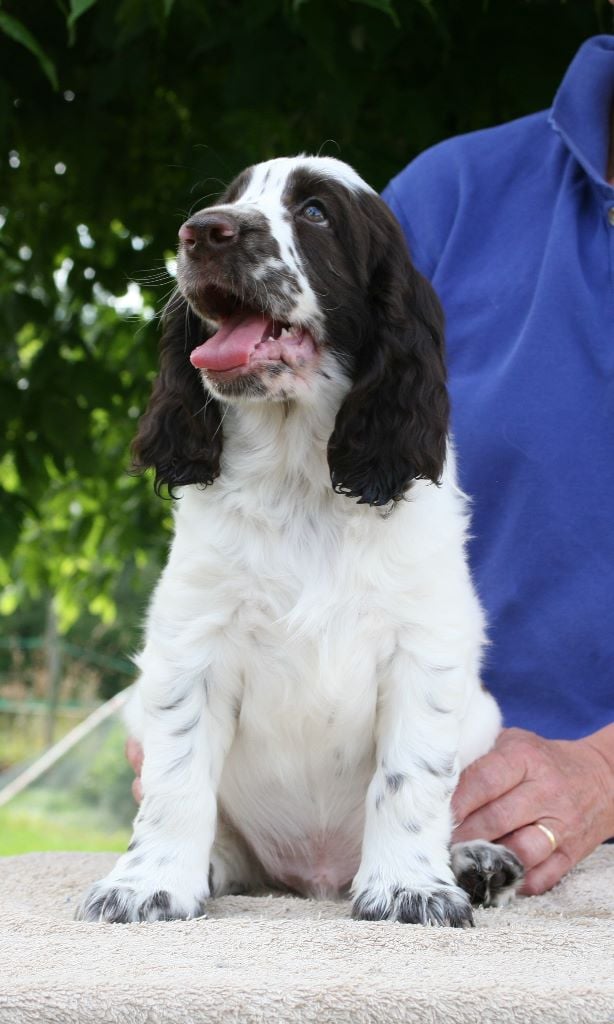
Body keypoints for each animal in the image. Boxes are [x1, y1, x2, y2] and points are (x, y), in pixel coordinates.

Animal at [77, 153, 521, 929]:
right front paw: (147, 885)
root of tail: (313, 875)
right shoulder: (191, 642)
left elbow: (409, 778)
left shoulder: (426, 645)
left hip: (482, 719)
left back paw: (473, 860)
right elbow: (176, 778)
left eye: (315, 213)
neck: (299, 478)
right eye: (230, 199)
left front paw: (409, 888)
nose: (200, 232)